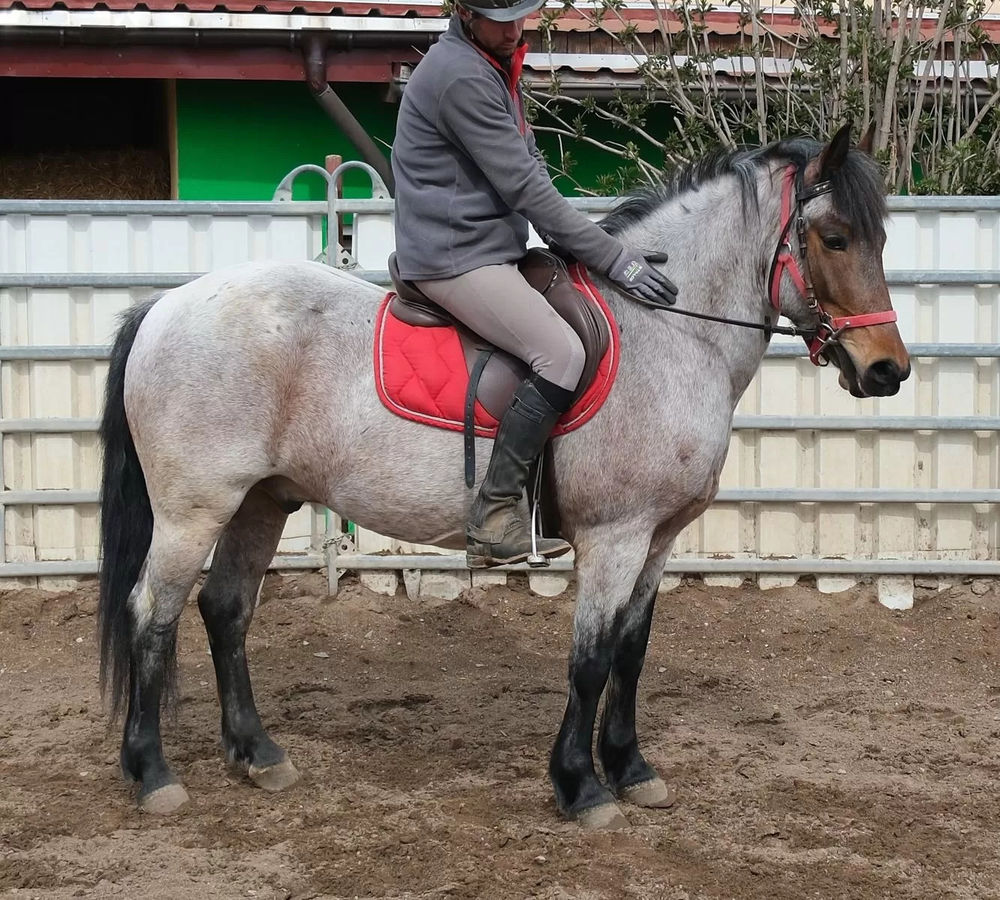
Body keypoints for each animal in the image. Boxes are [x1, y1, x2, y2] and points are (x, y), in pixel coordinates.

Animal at [97, 124, 909, 827]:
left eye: (878, 237)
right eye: (834, 238)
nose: (888, 371)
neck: (669, 331)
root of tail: (166, 305)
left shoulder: (658, 539)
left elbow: (632, 651)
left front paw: (631, 769)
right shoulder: (615, 537)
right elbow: (591, 658)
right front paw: (581, 787)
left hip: (261, 502)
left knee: (226, 610)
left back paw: (257, 754)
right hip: (193, 510)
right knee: (151, 614)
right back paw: (152, 773)